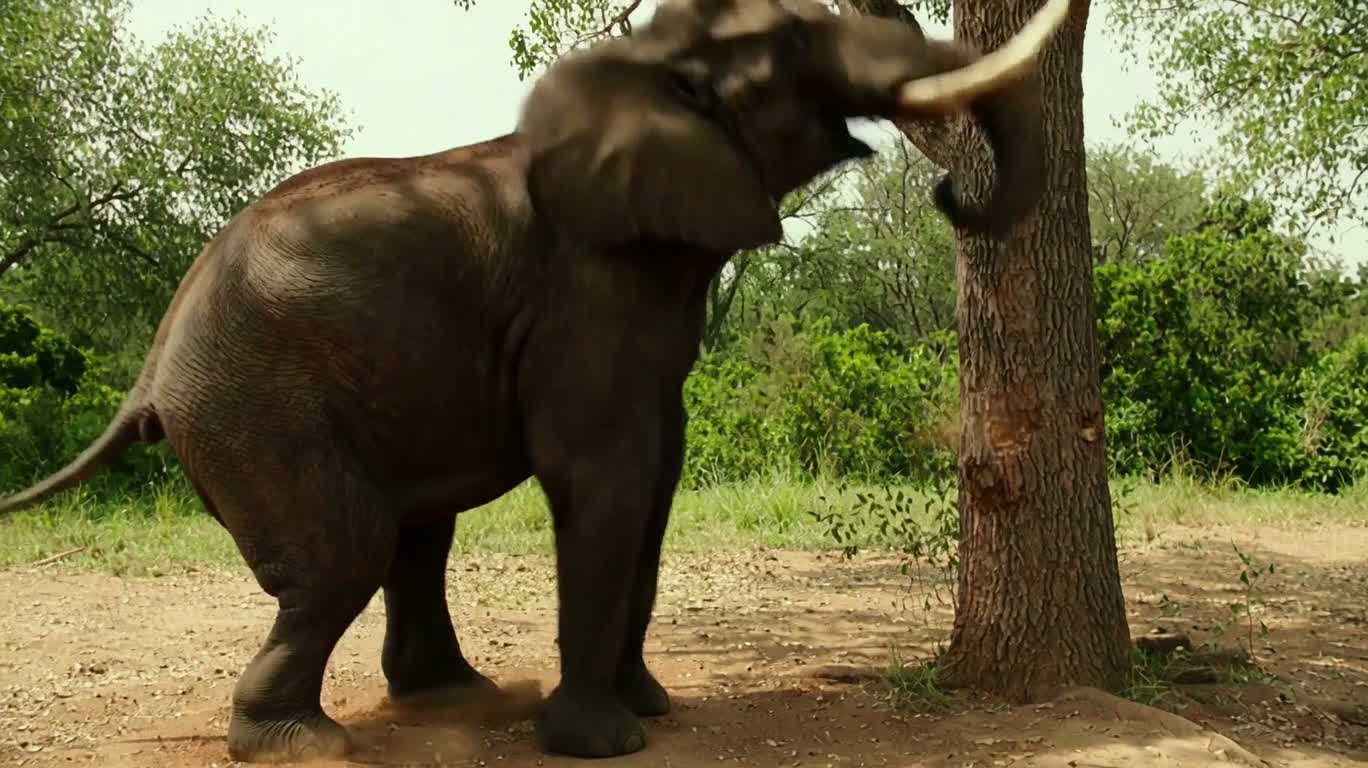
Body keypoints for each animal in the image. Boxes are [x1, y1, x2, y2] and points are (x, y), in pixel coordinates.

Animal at [0, 0, 1070, 761]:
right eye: (801, 35)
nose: (948, 189)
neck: (646, 68)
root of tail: (151, 367)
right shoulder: (585, 293)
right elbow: (603, 476)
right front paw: (603, 744)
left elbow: (656, 481)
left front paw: (651, 712)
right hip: (255, 405)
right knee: (348, 550)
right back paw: (306, 746)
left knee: (411, 539)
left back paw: (451, 699)